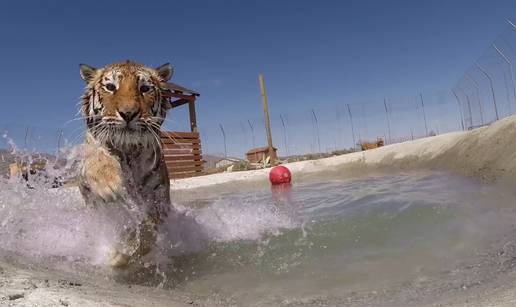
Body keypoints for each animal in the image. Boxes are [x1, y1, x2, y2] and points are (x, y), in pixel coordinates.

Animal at [76, 61, 173, 268]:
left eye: (144, 88)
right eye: (110, 87)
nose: (128, 113)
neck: (127, 150)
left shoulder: (159, 195)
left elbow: (148, 230)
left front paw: (124, 251)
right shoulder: (85, 183)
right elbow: (98, 159)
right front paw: (110, 186)